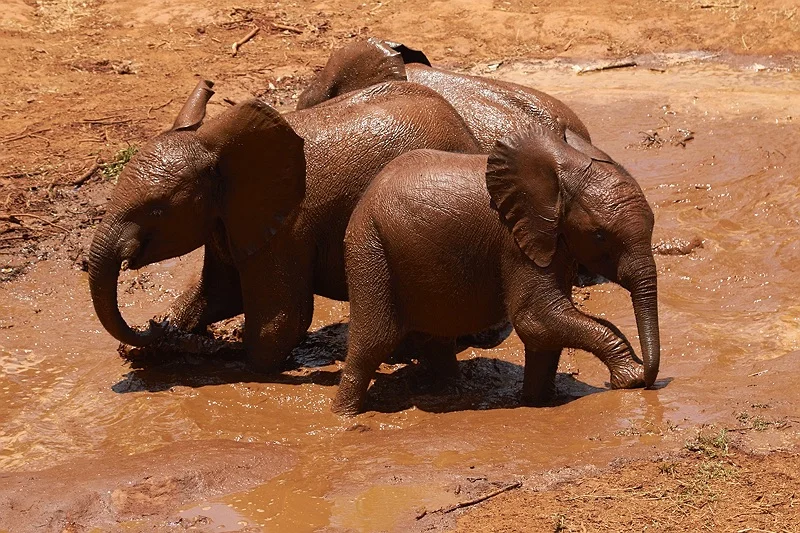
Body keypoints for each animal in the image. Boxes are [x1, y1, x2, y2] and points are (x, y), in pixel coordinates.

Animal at [88, 79, 480, 371]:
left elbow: (281, 323)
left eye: (156, 210)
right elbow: (218, 294)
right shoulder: (228, 219)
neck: (213, 146)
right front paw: (162, 340)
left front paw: (225, 356)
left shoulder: (288, 228)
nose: (153, 326)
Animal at [332, 124, 660, 415]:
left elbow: (544, 328)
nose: (650, 382)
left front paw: (536, 402)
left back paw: (451, 392)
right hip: (370, 245)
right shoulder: (515, 240)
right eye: (600, 235)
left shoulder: (551, 242)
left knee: (435, 335)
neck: (562, 173)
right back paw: (344, 417)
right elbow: (536, 318)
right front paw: (631, 377)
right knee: (375, 339)